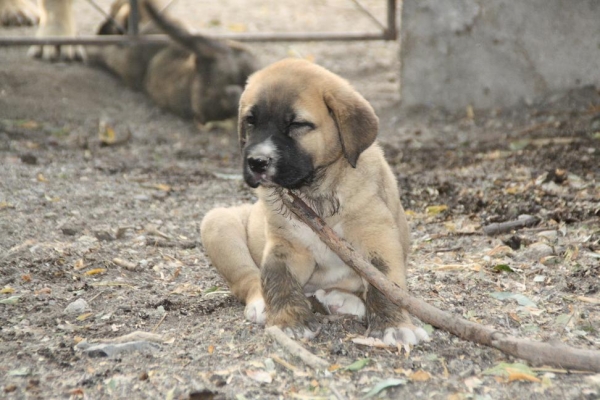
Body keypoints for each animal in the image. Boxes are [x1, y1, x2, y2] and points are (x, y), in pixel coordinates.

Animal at [204, 57, 428, 346]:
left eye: (297, 125)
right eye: (250, 121)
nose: (257, 162)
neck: (315, 193)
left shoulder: (377, 237)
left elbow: (386, 282)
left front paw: (394, 326)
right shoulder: (287, 244)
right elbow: (278, 277)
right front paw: (291, 322)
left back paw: (342, 300)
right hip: (217, 223)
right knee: (249, 278)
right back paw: (263, 304)